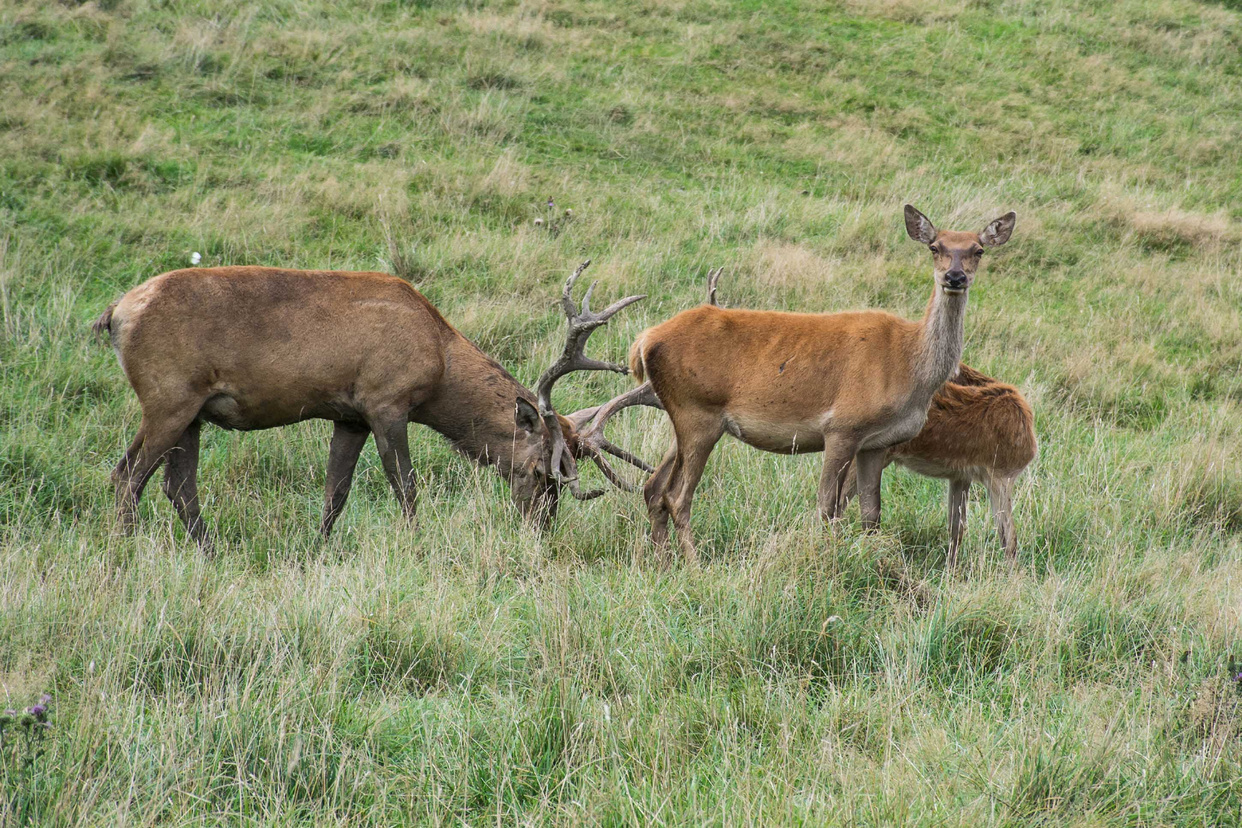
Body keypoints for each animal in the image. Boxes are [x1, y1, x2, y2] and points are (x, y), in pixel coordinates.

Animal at [93, 260, 655, 551]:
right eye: (543, 472)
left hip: (193, 413)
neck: (439, 359)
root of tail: (115, 313)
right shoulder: (386, 401)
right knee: (128, 476)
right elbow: (405, 486)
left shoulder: (349, 415)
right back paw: (123, 554)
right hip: (167, 398)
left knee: (177, 486)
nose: (542, 529)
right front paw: (417, 547)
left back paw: (210, 552)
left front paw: (318, 550)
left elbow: (334, 493)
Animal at [625, 206, 1013, 563]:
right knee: (677, 496)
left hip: (681, 417)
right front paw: (827, 560)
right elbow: (828, 506)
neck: (910, 367)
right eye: (935, 246)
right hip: (698, 412)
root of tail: (644, 341)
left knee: (653, 488)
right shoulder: (842, 426)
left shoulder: (877, 443)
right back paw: (693, 564)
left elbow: (872, 513)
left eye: (978, 249)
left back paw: (661, 562)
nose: (954, 277)